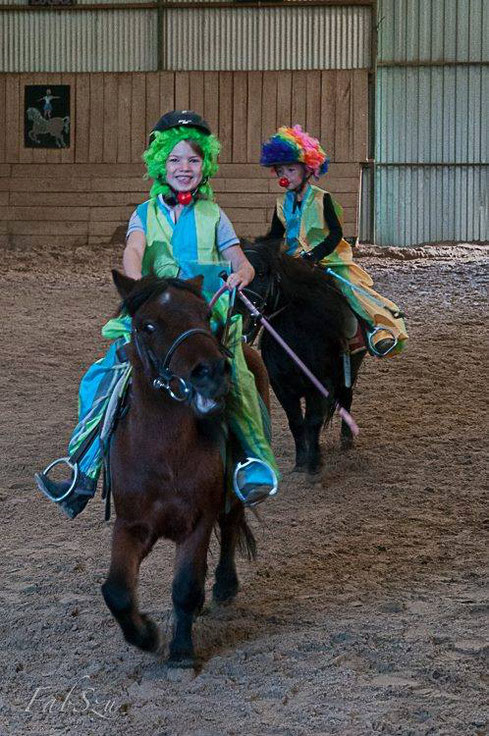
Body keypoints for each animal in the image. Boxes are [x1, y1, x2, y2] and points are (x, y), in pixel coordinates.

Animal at [100, 274, 264, 668]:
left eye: (205, 314)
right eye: (147, 326)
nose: (211, 371)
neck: (164, 455)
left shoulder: (198, 520)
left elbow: (185, 586)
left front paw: (181, 651)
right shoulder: (131, 524)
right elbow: (116, 590)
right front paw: (146, 635)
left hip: (232, 494)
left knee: (231, 525)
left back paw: (224, 585)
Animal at [240, 240, 362, 472]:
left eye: (261, 273)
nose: (242, 312)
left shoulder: (320, 385)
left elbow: (312, 421)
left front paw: (314, 464)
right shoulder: (281, 387)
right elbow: (296, 422)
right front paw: (301, 461)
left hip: (351, 368)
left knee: (346, 396)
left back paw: (346, 439)